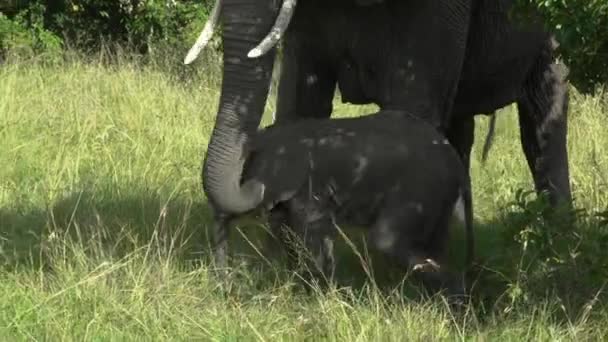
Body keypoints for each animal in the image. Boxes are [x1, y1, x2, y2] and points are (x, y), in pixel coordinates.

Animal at [211, 111, 472, 298]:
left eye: (244, 173)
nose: (225, 287)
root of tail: (455, 160)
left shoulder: (309, 188)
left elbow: (314, 238)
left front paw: (315, 297)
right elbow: (286, 234)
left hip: (419, 186)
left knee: (386, 241)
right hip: (437, 198)